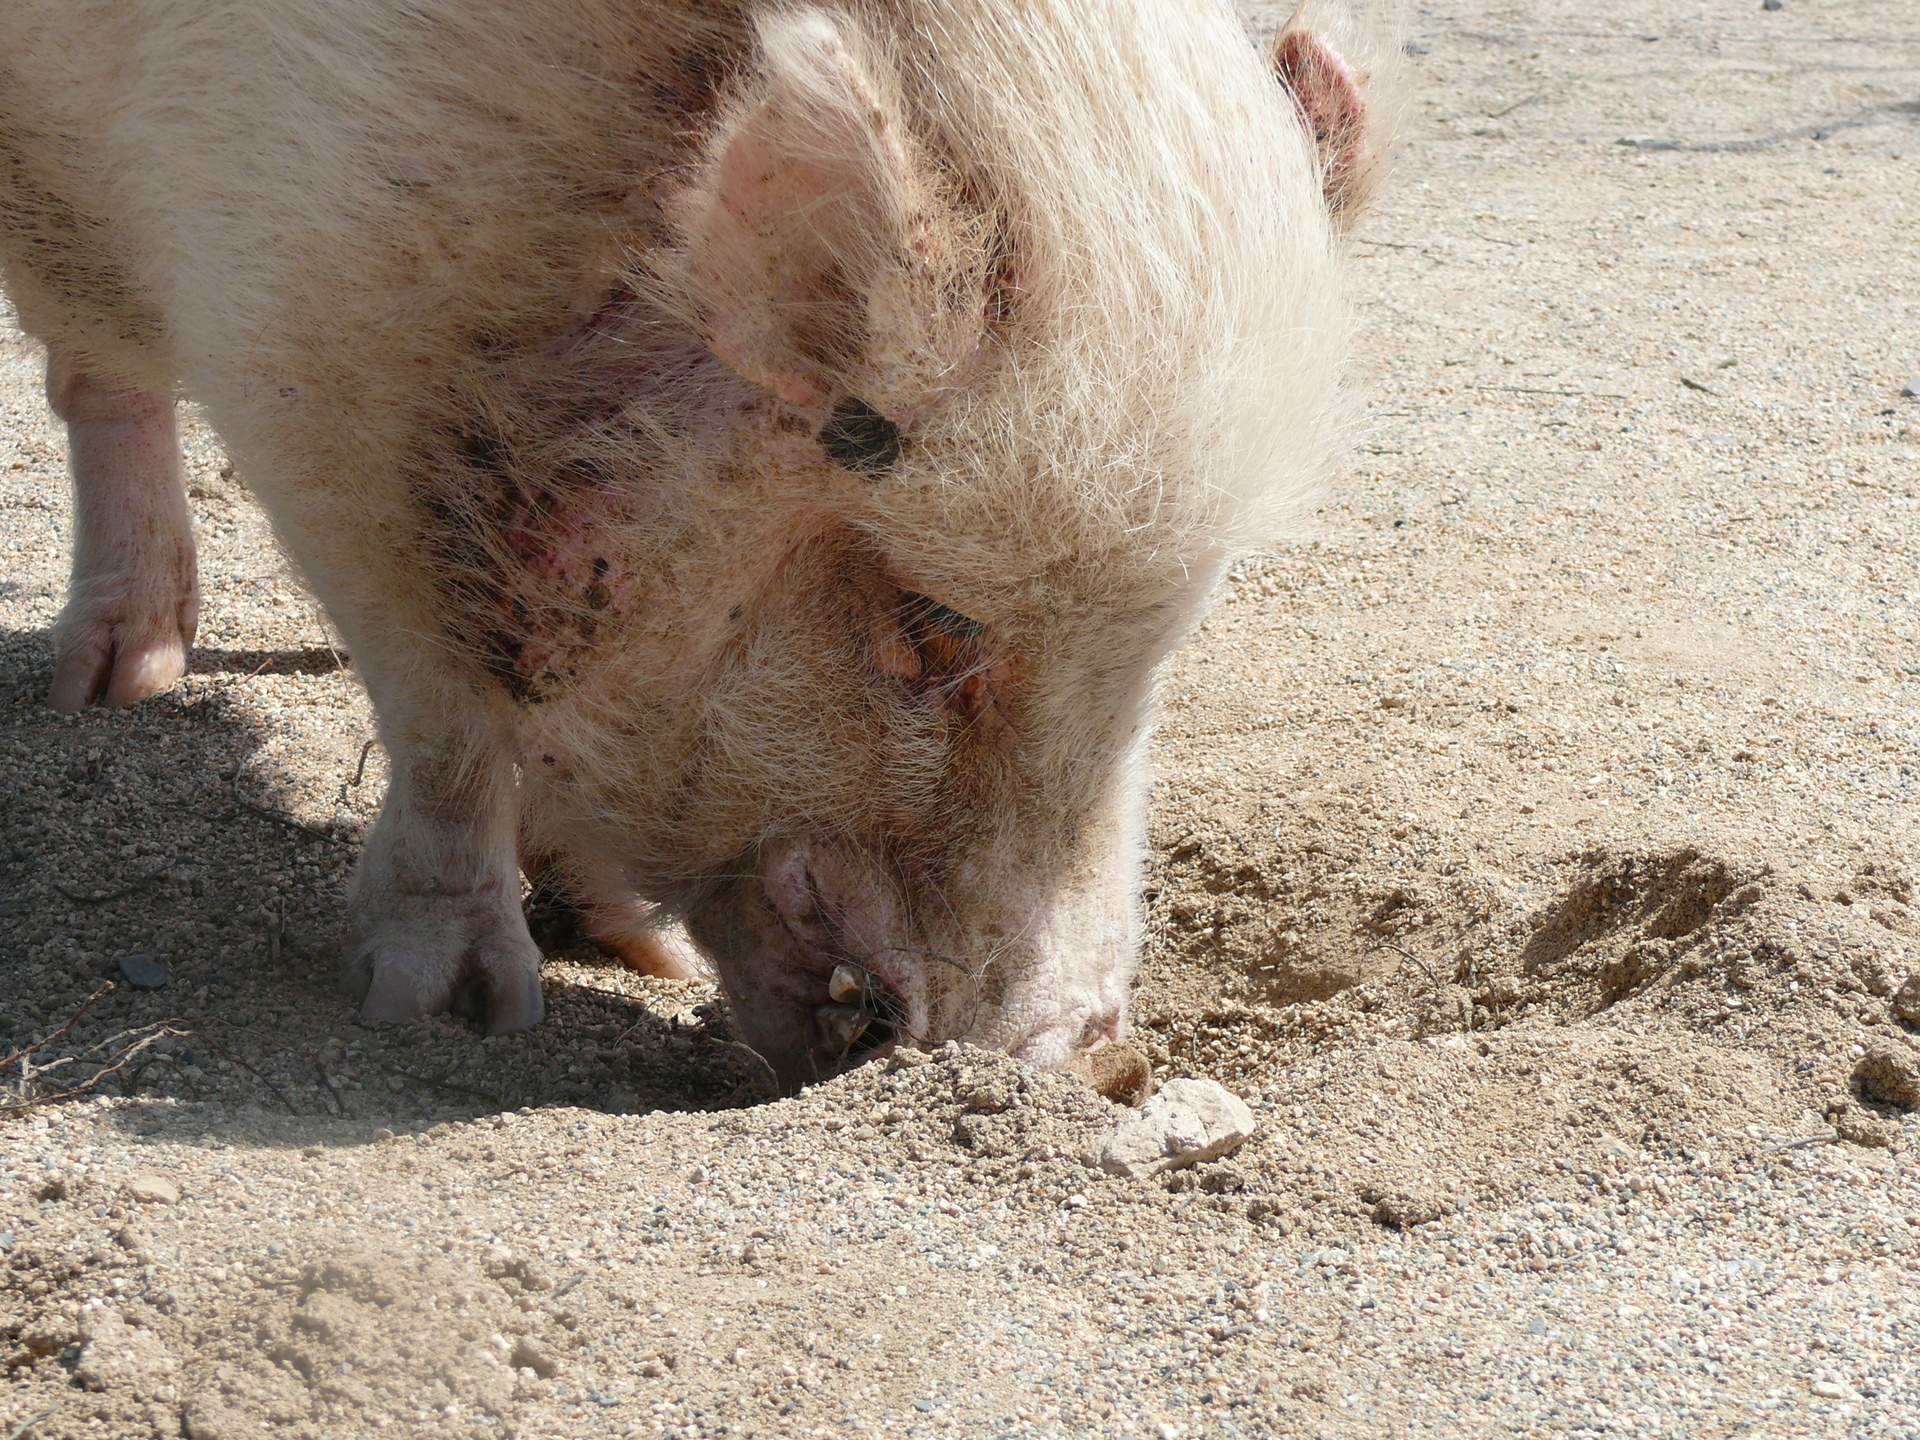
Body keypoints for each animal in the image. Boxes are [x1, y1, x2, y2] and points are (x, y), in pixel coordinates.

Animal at [0, 0, 1390, 1090]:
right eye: (934, 622)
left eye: (1167, 644)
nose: (1100, 1058)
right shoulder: (321, 355)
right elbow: (447, 727)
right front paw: (460, 1012)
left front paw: (638, 949)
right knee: (101, 373)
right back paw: (116, 686)